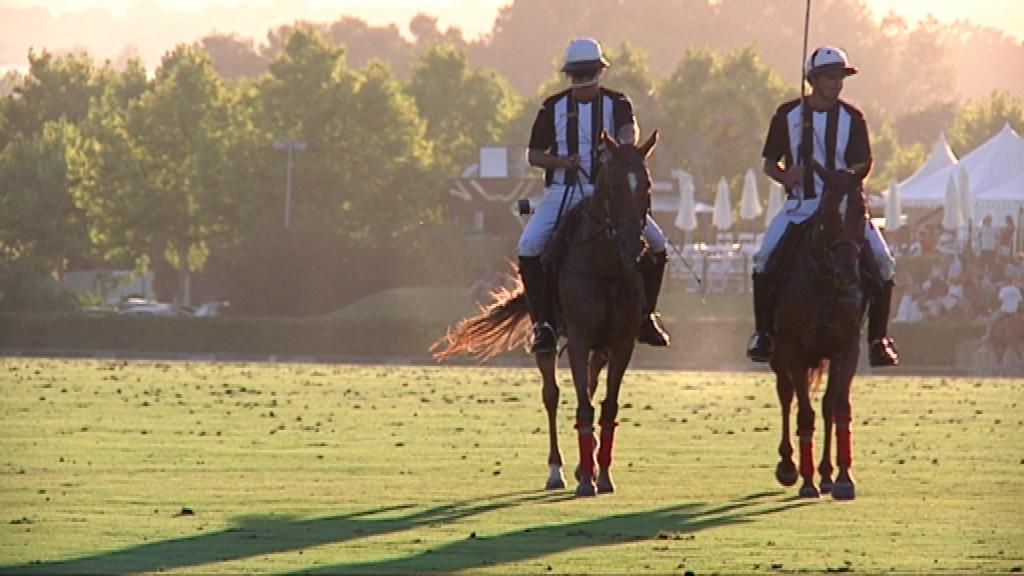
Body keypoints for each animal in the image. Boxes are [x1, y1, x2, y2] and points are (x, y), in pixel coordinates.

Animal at [430, 130, 655, 494]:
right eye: (615, 186)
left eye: (646, 184)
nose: (633, 246)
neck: (605, 265)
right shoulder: (578, 337)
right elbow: (581, 404)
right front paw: (585, 481)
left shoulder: (621, 343)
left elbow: (606, 405)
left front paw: (602, 475)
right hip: (548, 337)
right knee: (552, 394)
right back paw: (556, 470)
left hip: (601, 345)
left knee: (590, 384)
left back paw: (585, 464)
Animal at [770, 170, 868, 498]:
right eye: (826, 214)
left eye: (863, 211)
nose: (847, 274)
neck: (825, 281)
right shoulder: (794, 349)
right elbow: (804, 412)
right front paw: (806, 481)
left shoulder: (846, 347)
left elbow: (838, 406)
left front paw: (842, 478)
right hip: (778, 353)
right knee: (786, 394)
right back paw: (789, 466)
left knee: (825, 405)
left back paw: (825, 474)